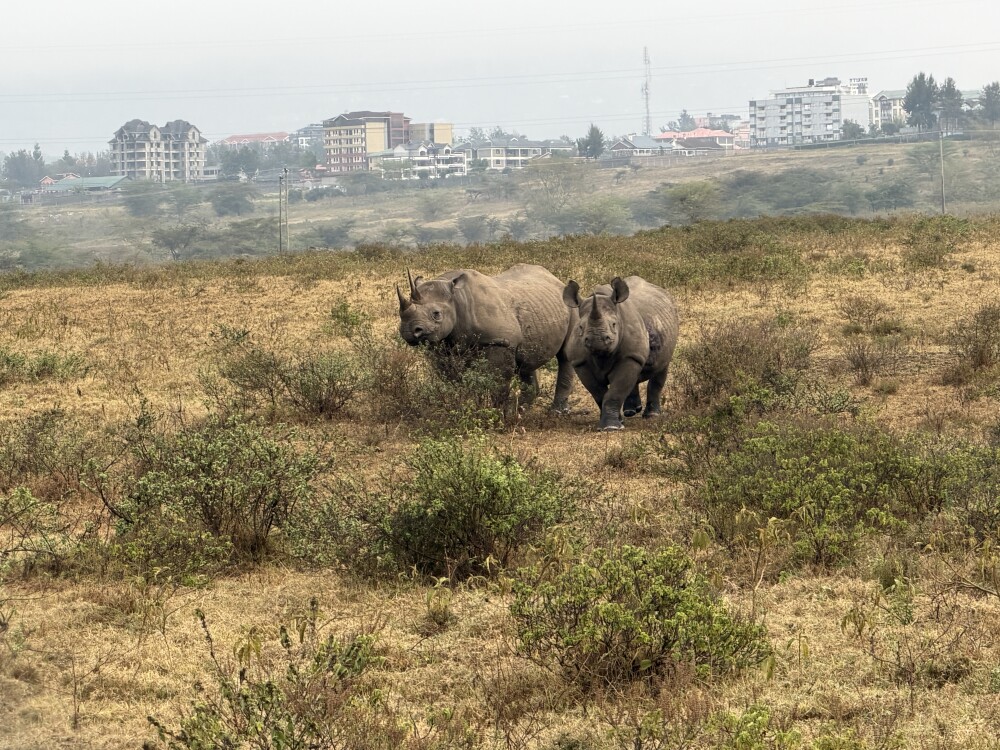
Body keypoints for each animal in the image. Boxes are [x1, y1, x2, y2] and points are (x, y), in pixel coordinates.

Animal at [397, 264, 576, 411]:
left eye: (436, 314)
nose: (409, 331)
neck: (457, 299)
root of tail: (555, 278)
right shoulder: (442, 346)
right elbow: (452, 379)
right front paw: (463, 406)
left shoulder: (500, 342)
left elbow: (498, 380)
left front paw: (497, 413)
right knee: (526, 361)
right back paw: (523, 409)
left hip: (570, 303)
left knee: (565, 355)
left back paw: (556, 412)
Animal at [562, 276, 679, 430]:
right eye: (580, 327)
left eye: (614, 325)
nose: (597, 340)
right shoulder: (580, 362)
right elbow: (599, 393)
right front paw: (616, 421)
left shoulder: (629, 357)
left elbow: (615, 392)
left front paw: (611, 427)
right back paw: (630, 411)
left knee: (661, 367)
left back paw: (652, 415)